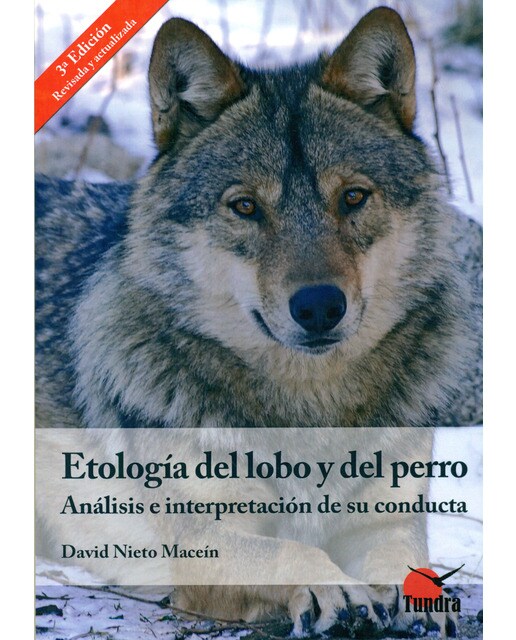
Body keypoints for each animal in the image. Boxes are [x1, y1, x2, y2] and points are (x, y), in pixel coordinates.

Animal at [36, 6, 482, 638]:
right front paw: (335, 592)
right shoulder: (204, 544)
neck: (310, 414)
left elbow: (403, 560)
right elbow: (289, 551)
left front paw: (414, 600)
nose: (318, 306)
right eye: (245, 206)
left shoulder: (386, 520)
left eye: (353, 197)